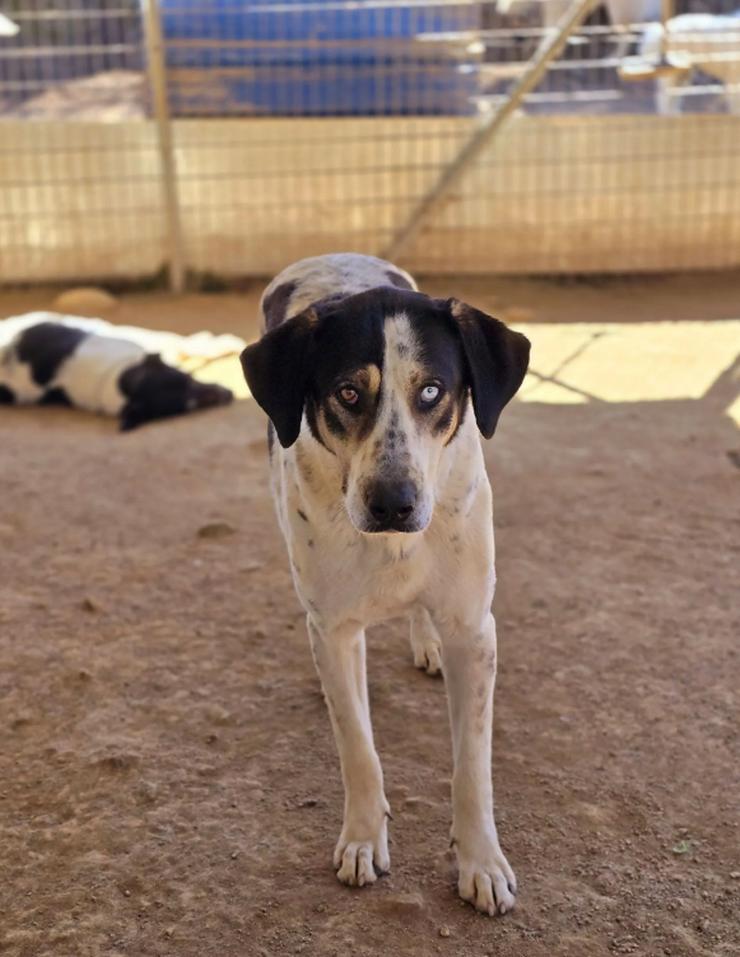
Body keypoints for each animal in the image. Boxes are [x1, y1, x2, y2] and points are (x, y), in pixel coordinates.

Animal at [243, 256, 532, 920]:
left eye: (432, 391)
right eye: (349, 392)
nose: (394, 504)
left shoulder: (475, 629)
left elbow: (472, 765)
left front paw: (481, 863)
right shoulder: (336, 631)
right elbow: (358, 746)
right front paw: (361, 839)